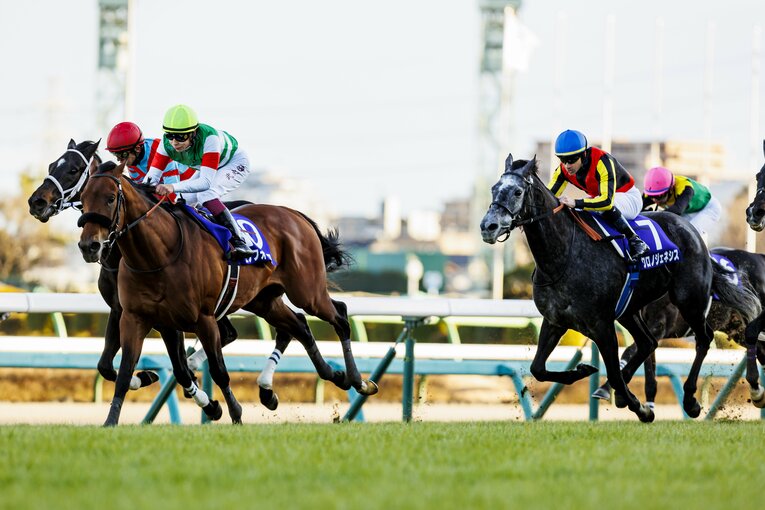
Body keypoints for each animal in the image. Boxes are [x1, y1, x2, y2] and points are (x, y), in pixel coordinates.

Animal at [77, 160, 377, 425]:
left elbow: (218, 371)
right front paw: (111, 419)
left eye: (111, 198)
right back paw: (326, 377)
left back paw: (359, 381)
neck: (158, 255)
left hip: (307, 292)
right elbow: (124, 371)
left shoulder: (203, 318)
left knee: (339, 315)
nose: (89, 246)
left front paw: (233, 412)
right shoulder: (137, 317)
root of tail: (294, 213)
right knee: (299, 326)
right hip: (263, 300)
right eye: (83, 199)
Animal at [480, 154, 760, 421]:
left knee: (703, 338)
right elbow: (538, 369)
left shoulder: (602, 325)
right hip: (630, 310)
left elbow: (614, 373)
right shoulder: (555, 320)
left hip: (689, 299)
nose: (488, 227)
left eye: (518, 191)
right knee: (648, 343)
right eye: (494, 188)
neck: (563, 256)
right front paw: (587, 373)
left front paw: (638, 406)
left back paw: (691, 400)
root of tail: (690, 231)